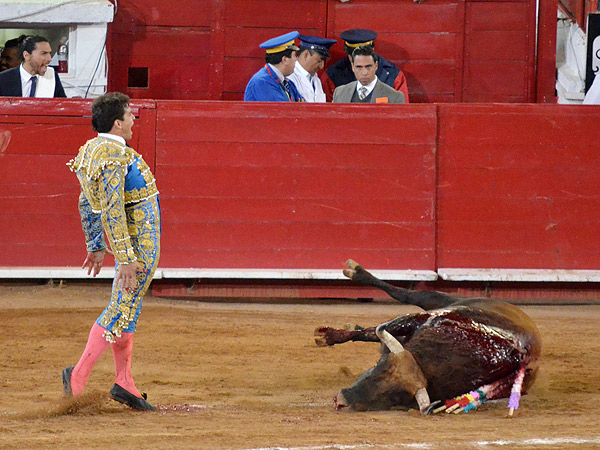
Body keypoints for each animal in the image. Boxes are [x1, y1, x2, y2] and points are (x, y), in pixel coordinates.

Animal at [314, 260, 542, 415]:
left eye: (396, 395)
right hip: (442, 299)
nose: (341, 400)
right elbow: (380, 328)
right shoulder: (427, 318)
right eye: (379, 365)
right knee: (406, 295)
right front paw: (332, 335)